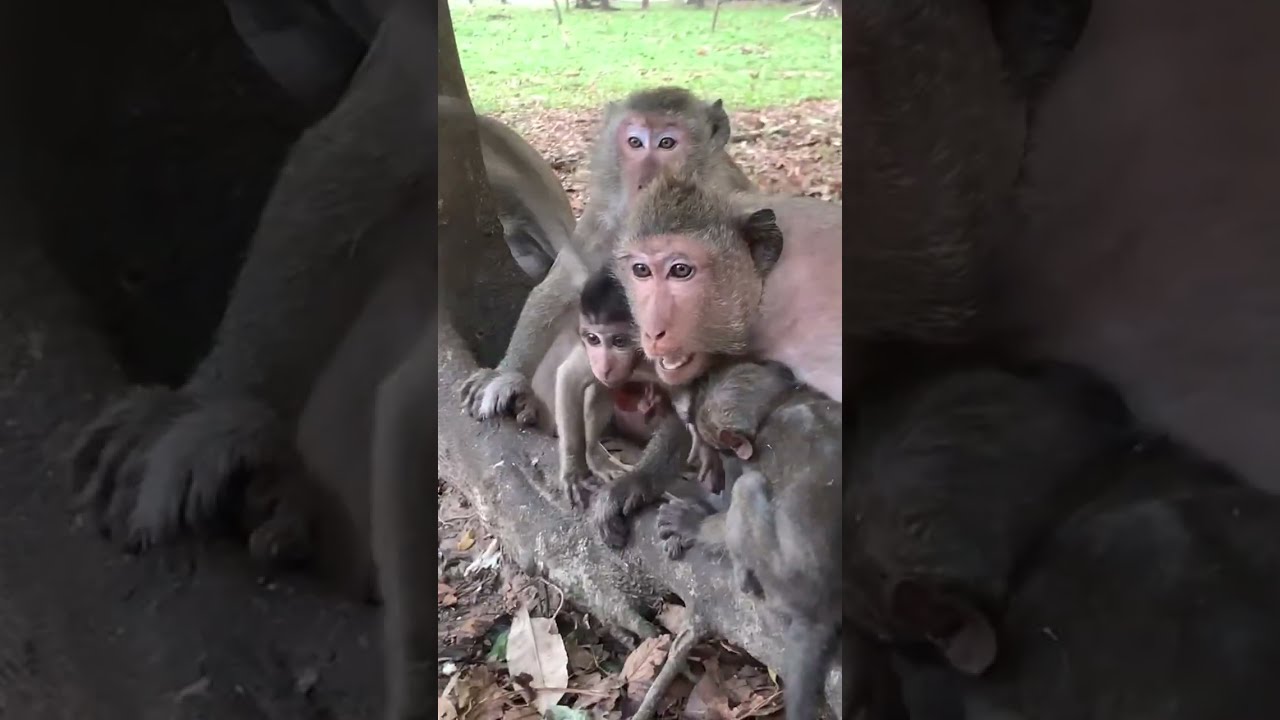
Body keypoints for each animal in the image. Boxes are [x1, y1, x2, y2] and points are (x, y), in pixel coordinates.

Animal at [459, 86, 755, 428]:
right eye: (635, 142)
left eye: (667, 143)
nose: (644, 181)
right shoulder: (602, 213)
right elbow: (562, 286)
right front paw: (507, 375)